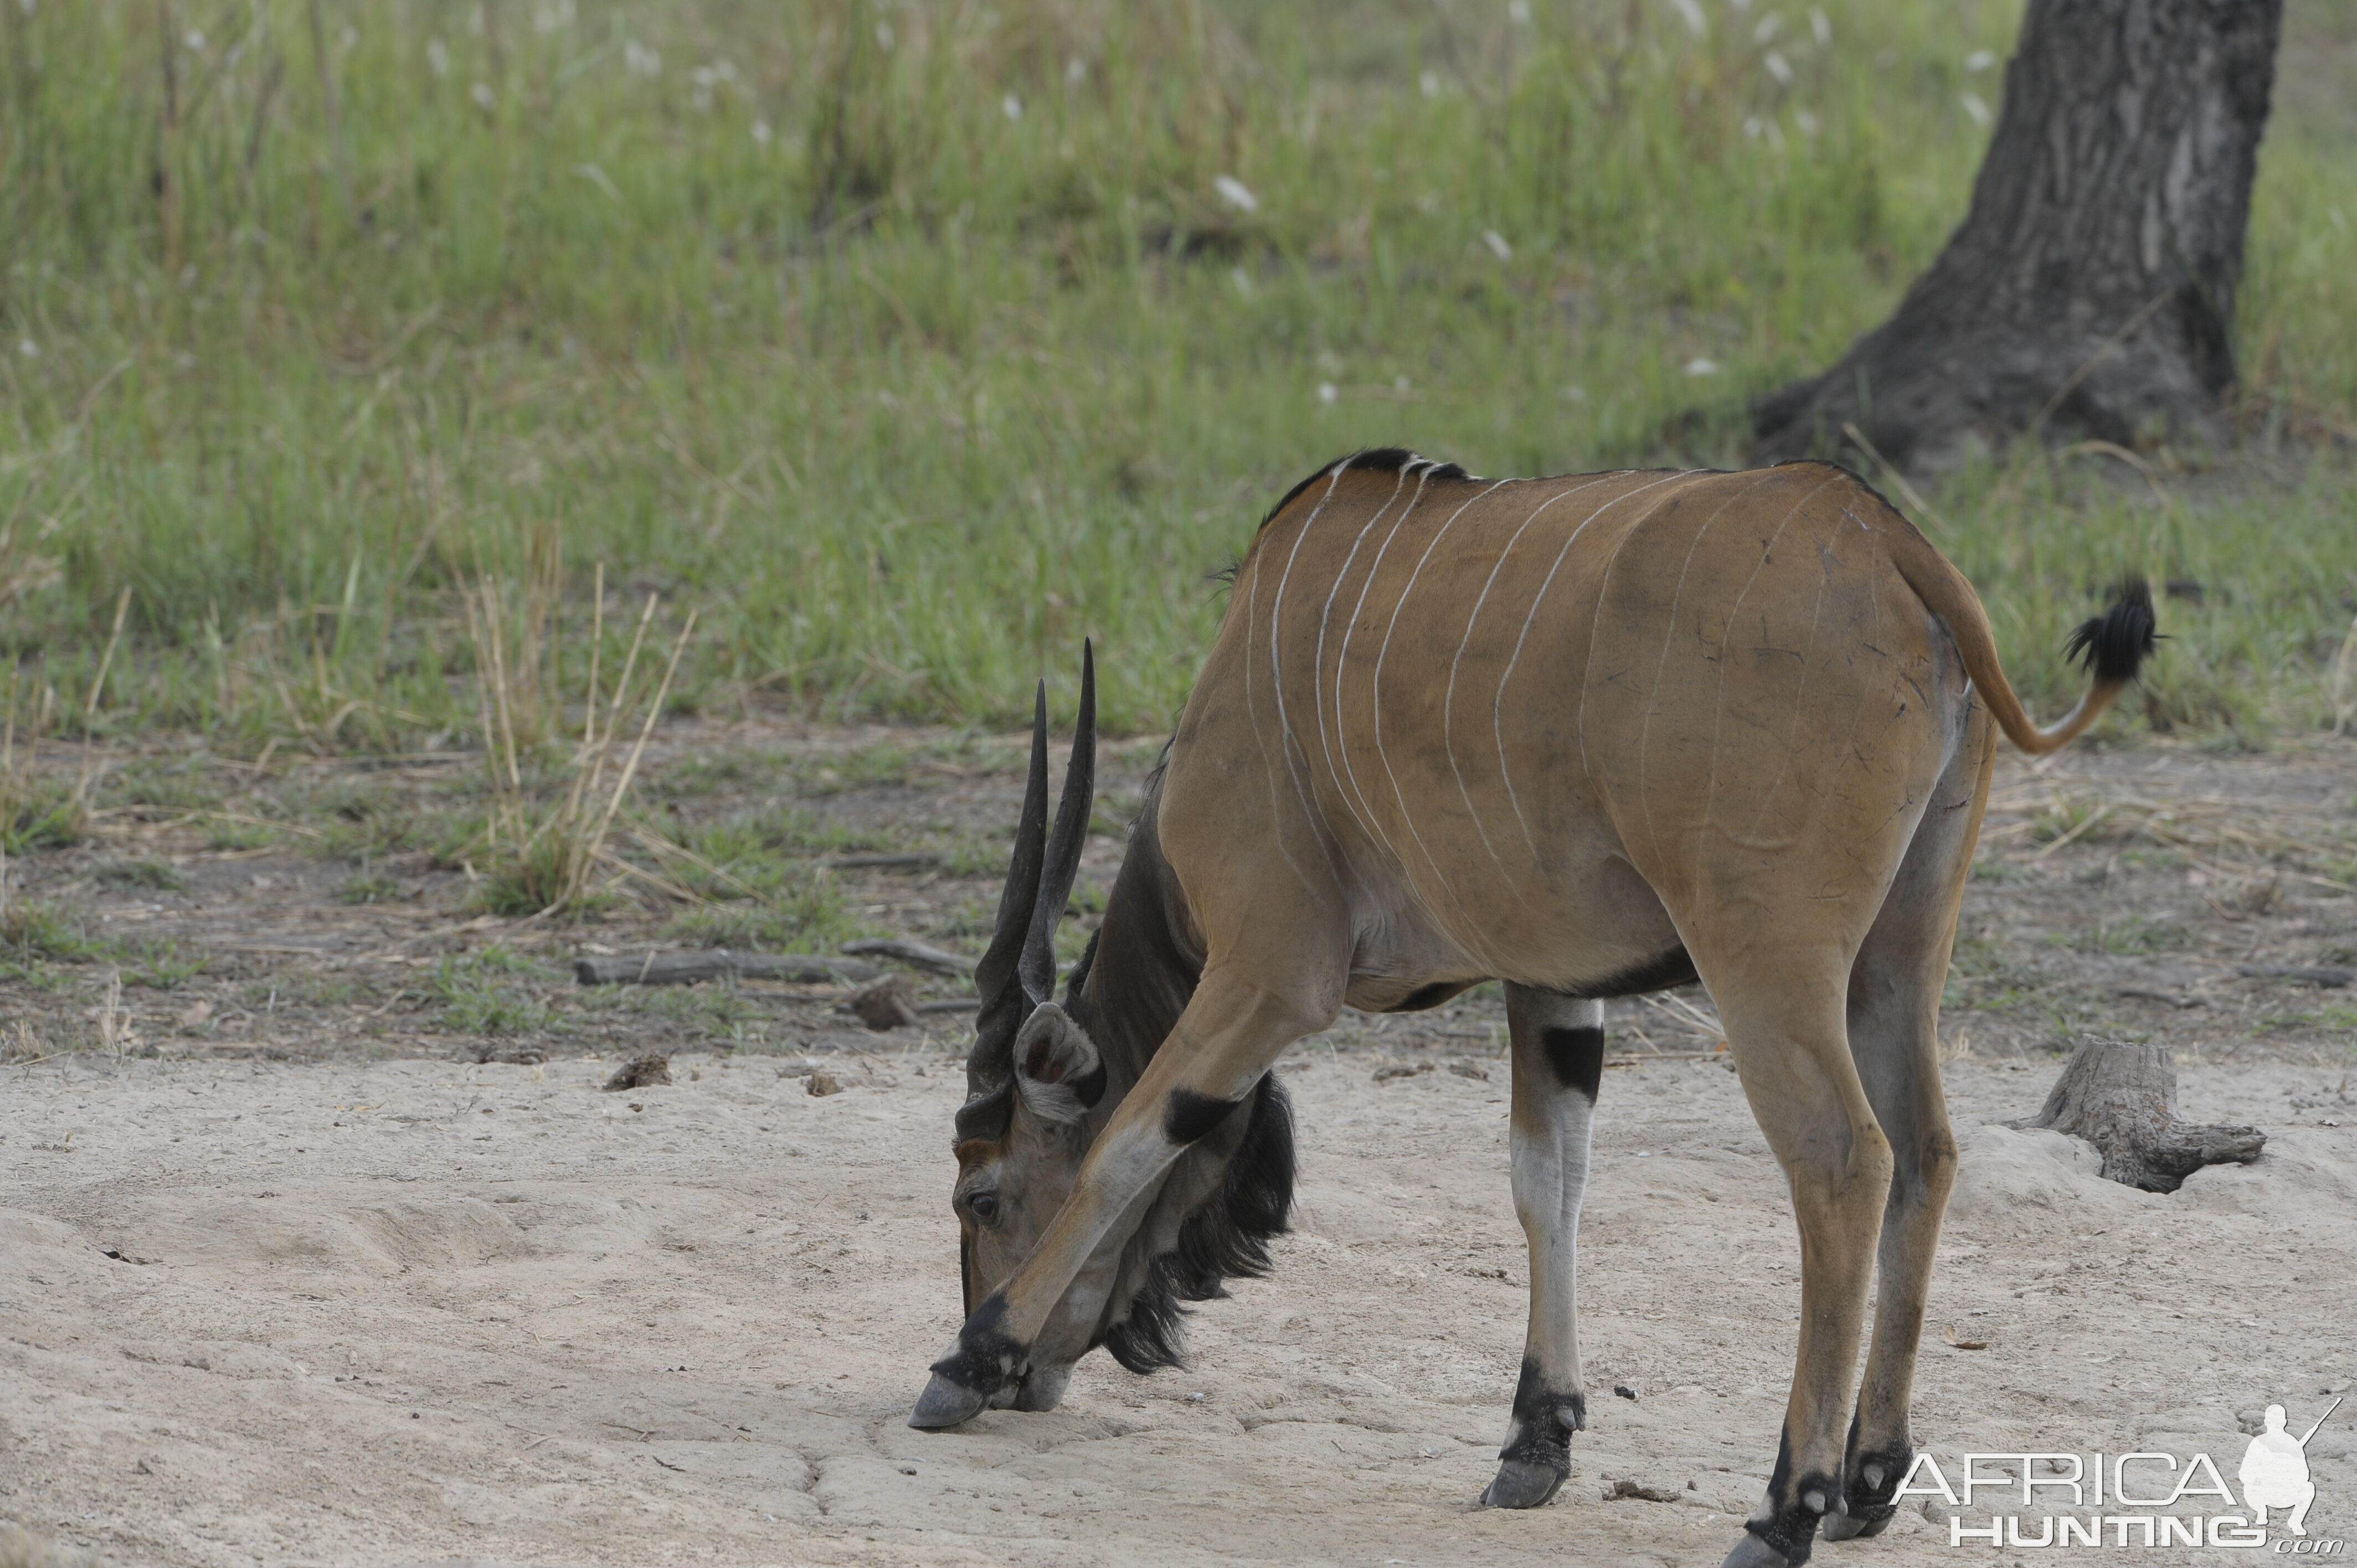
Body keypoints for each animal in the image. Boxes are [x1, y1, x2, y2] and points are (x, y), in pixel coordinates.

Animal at [914, 450, 2159, 1565]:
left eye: (982, 1194)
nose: (1029, 1381)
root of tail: (1885, 539)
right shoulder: (1551, 989)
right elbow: (1547, 1180)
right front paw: (1536, 1441)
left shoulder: (1269, 972)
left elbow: (1128, 1140)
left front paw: (967, 1360)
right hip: (1896, 961)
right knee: (1929, 1151)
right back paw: (1869, 1479)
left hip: (1768, 962)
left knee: (1845, 1160)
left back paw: (1786, 1509)